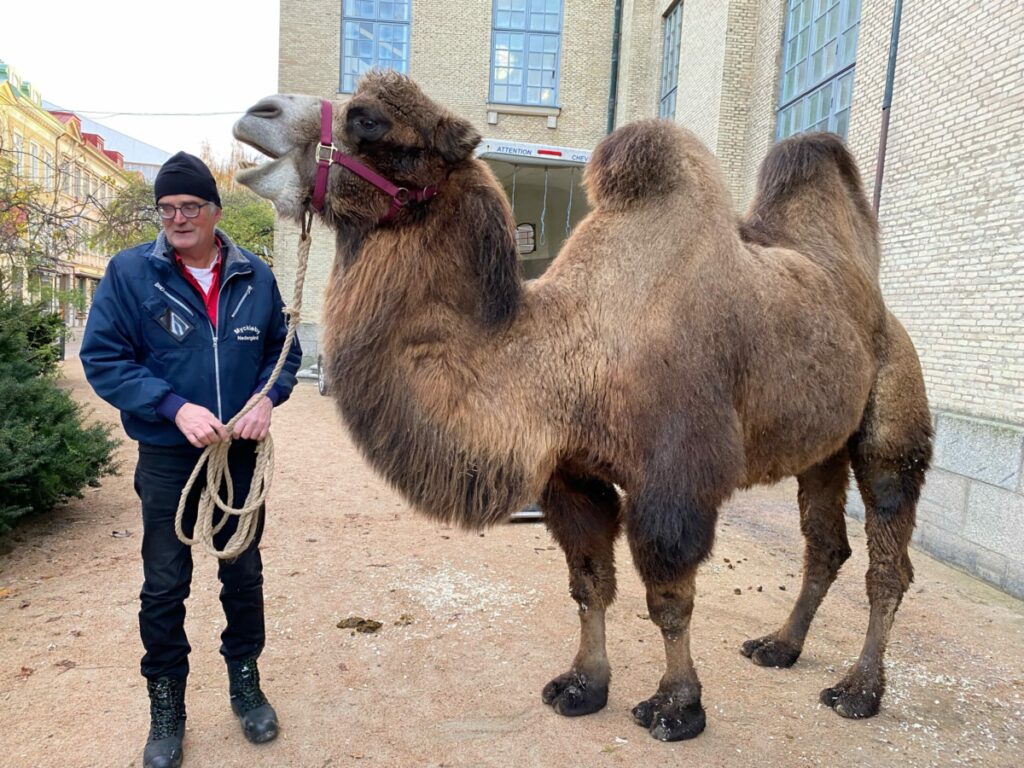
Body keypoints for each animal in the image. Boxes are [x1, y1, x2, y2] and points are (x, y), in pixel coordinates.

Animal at [234, 75, 937, 741]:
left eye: (370, 120)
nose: (256, 112)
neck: (563, 359)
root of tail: (878, 304)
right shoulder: (573, 475)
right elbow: (589, 583)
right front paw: (583, 685)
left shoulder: (674, 481)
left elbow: (669, 599)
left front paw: (677, 707)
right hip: (822, 446)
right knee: (826, 546)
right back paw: (779, 646)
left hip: (891, 417)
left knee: (887, 556)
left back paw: (858, 690)